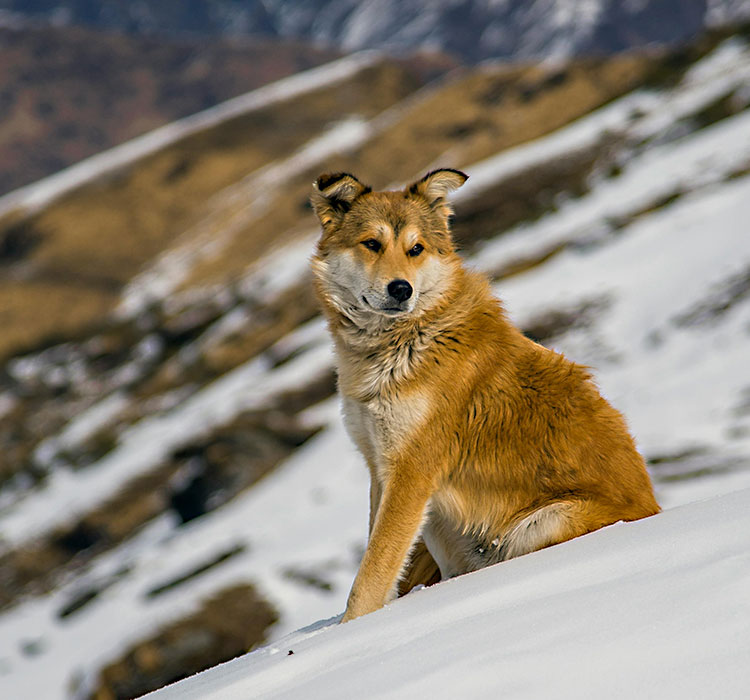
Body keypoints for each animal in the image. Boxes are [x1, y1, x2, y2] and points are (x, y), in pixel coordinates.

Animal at [308, 170, 660, 624]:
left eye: (416, 249)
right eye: (371, 243)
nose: (401, 289)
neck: (404, 343)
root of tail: (654, 508)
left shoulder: (411, 473)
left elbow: (372, 573)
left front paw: (351, 628)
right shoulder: (379, 466)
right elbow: (378, 556)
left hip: (542, 523)